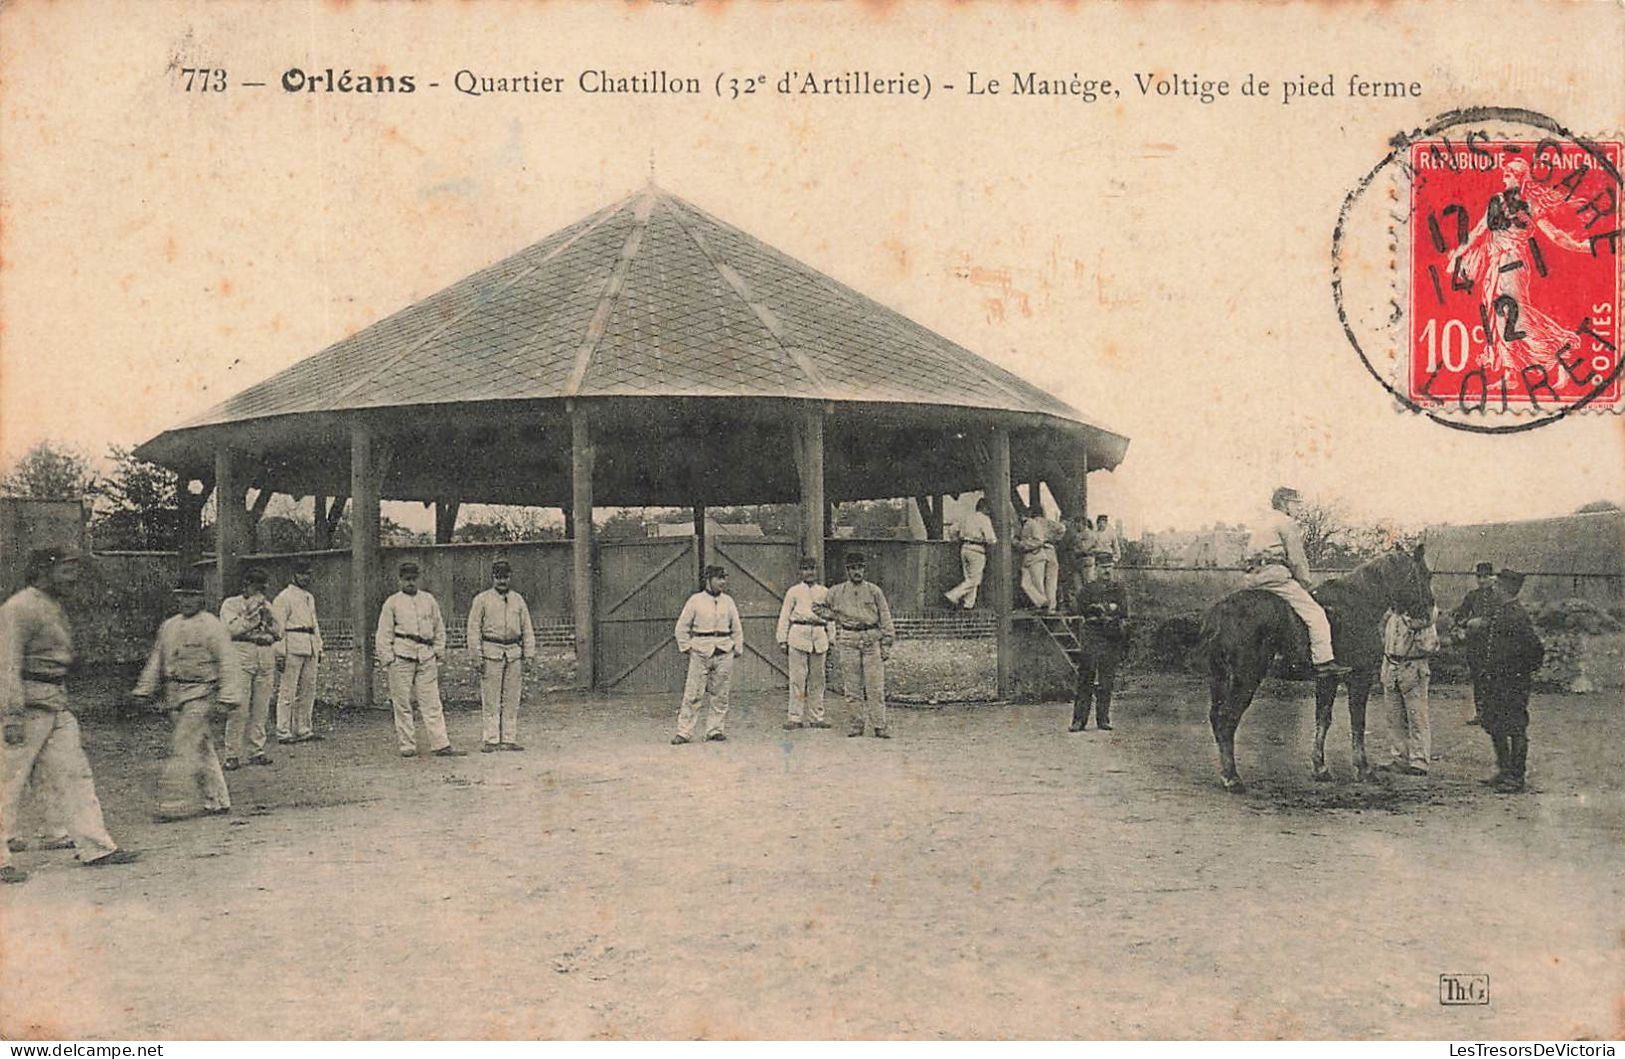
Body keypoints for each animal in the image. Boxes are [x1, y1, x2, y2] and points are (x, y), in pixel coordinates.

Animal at [1196, 548, 1436, 789]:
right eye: (1424, 574)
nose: (1429, 613)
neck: (1358, 603)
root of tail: (1220, 613)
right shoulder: (1359, 677)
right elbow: (1357, 722)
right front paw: (1364, 770)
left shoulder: (1327, 679)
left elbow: (1323, 720)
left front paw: (1320, 768)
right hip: (1245, 679)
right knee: (1227, 718)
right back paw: (1232, 777)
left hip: (1219, 677)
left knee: (1216, 717)